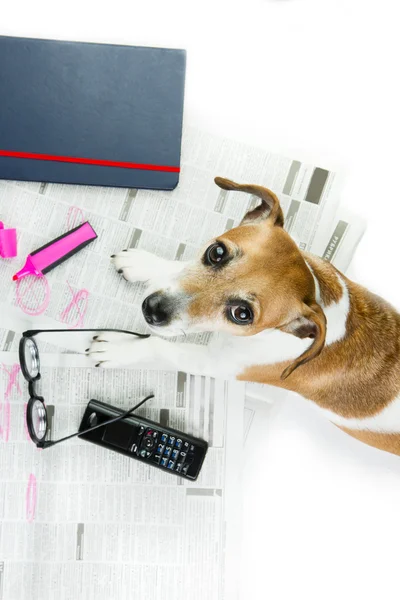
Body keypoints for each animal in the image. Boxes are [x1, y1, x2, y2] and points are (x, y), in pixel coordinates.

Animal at [87, 177, 400, 454]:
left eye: (242, 314)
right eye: (216, 252)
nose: (153, 309)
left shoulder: (215, 364)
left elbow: (160, 347)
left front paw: (118, 350)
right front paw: (146, 264)